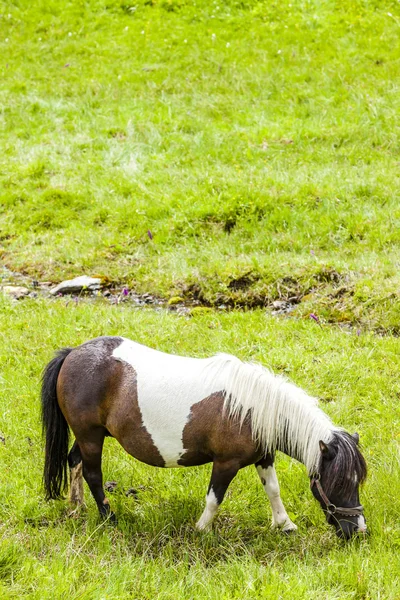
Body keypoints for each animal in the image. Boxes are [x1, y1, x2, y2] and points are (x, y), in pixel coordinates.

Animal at [41, 338, 368, 540]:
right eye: (339, 482)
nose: (358, 531)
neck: (251, 408)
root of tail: (72, 353)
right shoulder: (226, 463)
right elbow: (214, 498)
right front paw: (201, 530)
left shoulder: (264, 457)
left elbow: (273, 490)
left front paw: (284, 524)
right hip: (91, 436)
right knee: (93, 474)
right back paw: (109, 517)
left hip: (87, 436)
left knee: (75, 462)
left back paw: (77, 507)